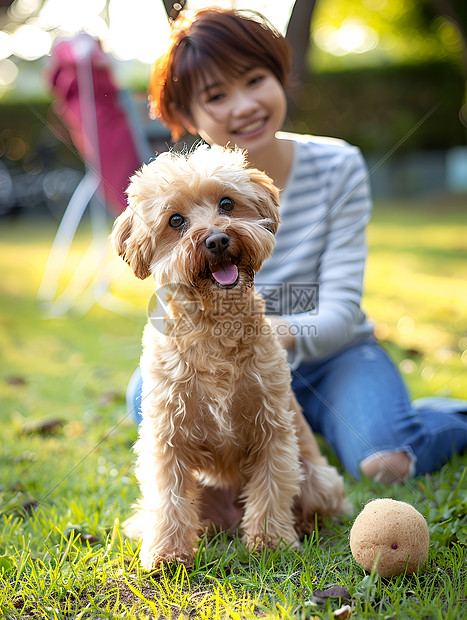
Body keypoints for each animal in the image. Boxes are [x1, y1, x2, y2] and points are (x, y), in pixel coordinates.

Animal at [111, 147, 350, 572]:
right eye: (175, 220)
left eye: (226, 203)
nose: (218, 239)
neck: (215, 327)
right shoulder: (166, 438)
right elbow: (168, 498)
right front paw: (167, 553)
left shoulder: (273, 428)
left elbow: (272, 488)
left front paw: (270, 543)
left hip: (320, 479)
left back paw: (301, 528)